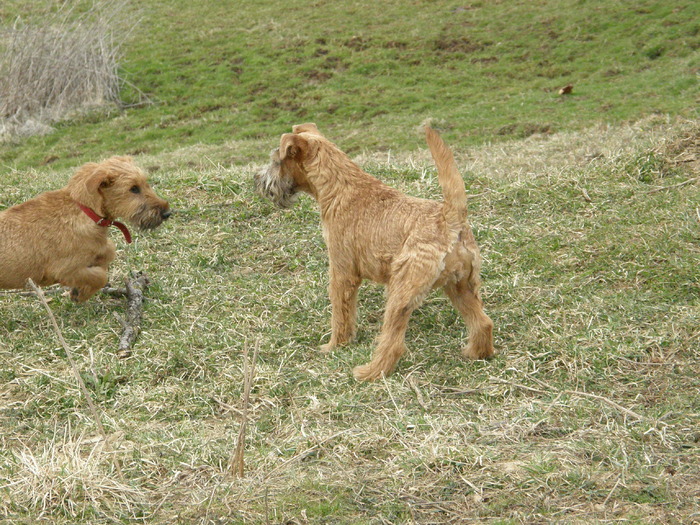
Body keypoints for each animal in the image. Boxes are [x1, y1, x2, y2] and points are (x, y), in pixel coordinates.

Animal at [1, 156, 171, 300]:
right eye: (134, 188)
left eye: (145, 183)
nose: (167, 213)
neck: (84, 210)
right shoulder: (64, 270)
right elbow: (100, 276)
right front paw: (81, 294)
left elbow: (108, 251)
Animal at [256, 125, 492, 378]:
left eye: (276, 161)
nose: (258, 180)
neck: (341, 186)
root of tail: (450, 219)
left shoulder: (342, 272)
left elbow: (341, 315)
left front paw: (335, 346)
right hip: (460, 286)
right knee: (483, 322)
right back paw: (477, 353)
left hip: (402, 290)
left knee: (393, 342)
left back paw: (369, 372)